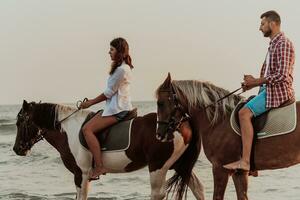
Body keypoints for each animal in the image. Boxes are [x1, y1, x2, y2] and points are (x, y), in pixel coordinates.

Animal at [11, 101, 204, 199]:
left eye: (20, 122)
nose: (17, 149)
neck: (68, 130)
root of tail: (181, 121)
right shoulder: (84, 176)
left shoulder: (81, 174)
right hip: (179, 165)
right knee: (198, 188)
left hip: (158, 166)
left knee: (158, 194)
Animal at [156, 73, 298, 200]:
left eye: (160, 103)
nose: (159, 135)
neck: (219, 120)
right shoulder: (239, 173)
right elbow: (242, 196)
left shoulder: (220, 169)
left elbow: (217, 197)